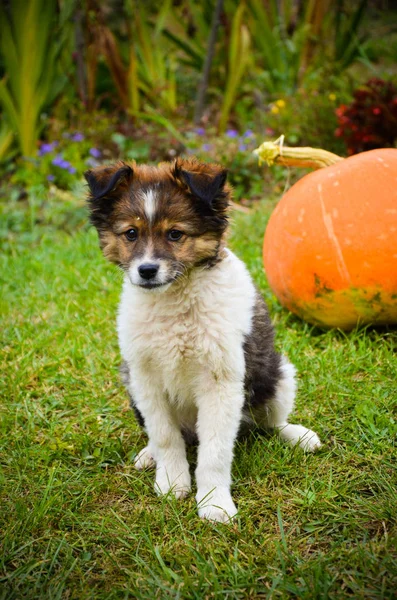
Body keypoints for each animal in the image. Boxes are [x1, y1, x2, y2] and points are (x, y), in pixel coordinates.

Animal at [85, 157, 320, 524]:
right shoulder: (145, 377)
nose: (147, 270)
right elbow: (165, 437)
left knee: (269, 423)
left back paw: (298, 435)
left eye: (175, 234)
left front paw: (214, 503)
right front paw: (172, 482)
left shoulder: (220, 381)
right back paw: (149, 455)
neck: (174, 301)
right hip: (130, 383)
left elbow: (215, 452)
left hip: (278, 374)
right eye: (131, 234)